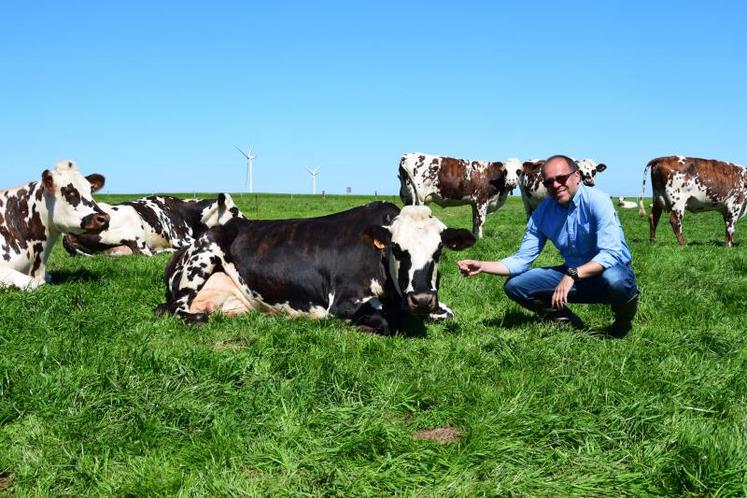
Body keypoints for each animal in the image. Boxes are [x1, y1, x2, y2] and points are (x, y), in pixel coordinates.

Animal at [155, 200, 476, 332]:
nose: (421, 299)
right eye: (397, 248)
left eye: (439, 250)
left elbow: (449, 313)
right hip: (201, 261)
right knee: (170, 309)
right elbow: (383, 320)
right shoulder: (341, 302)